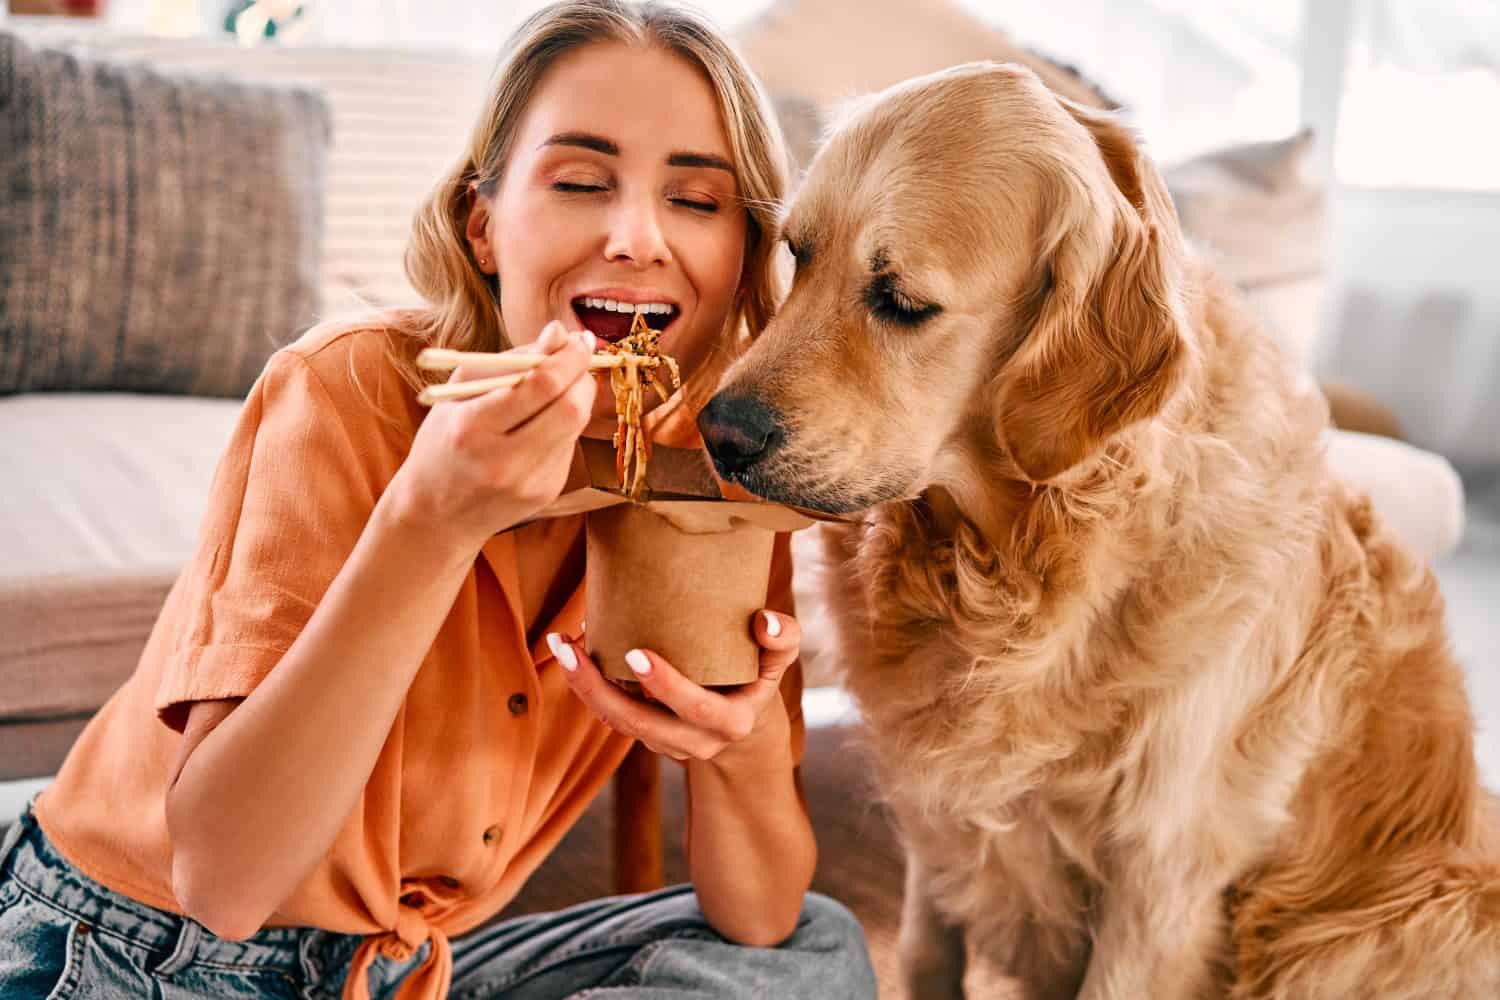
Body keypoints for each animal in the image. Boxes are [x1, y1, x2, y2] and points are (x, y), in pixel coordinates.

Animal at [696, 64, 1494, 1000]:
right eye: (798, 252)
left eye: (902, 302)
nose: (719, 434)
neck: (1018, 568)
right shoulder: (941, 824)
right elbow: (927, 954)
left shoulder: (1157, 887)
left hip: (1371, 934)